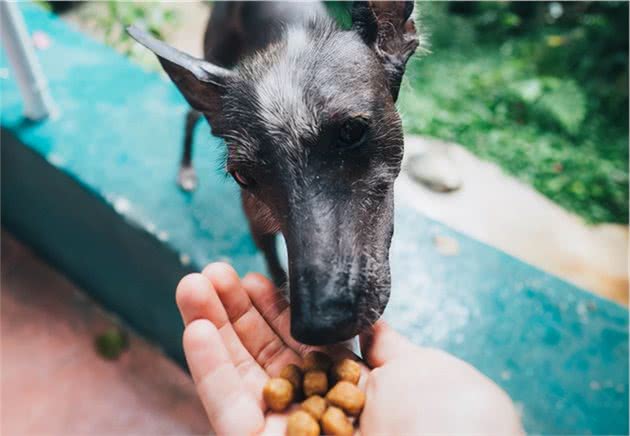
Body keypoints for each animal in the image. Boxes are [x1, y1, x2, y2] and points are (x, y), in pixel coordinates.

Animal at [128, 1, 420, 346]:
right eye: (243, 176)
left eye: (351, 131)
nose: (320, 326)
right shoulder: (257, 225)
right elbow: (276, 271)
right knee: (190, 116)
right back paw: (185, 169)